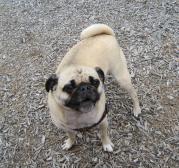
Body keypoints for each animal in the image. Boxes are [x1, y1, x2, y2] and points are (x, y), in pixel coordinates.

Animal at [45, 24, 141, 152]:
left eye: (95, 82)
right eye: (69, 87)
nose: (85, 87)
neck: (78, 114)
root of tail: (106, 34)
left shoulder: (103, 121)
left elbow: (104, 134)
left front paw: (106, 145)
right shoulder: (66, 128)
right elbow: (71, 135)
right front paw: (70, 143)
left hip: (121, 78)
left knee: (134, 94)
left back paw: (137, 109)